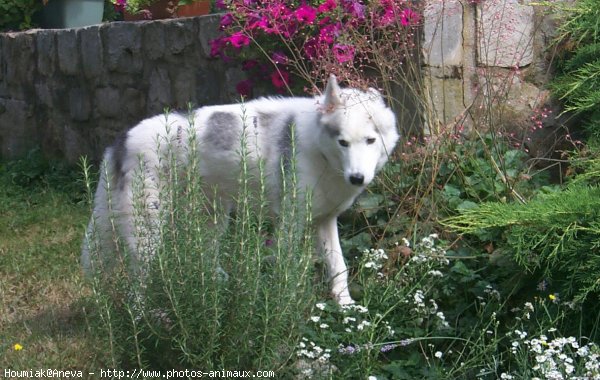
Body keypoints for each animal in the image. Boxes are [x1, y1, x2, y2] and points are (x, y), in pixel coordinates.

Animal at [79, 75, 398, 304]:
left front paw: (346, 308)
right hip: (148, 235)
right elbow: (286, 272)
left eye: (370, 140)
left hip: (214, 218)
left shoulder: (325, 222)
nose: (357, 178)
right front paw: (285, 307)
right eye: (343, 142)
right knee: (138, 289)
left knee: (206, 258)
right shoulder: (290, 224)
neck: (319, 152)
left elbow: (338, 268)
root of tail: (122, 139)